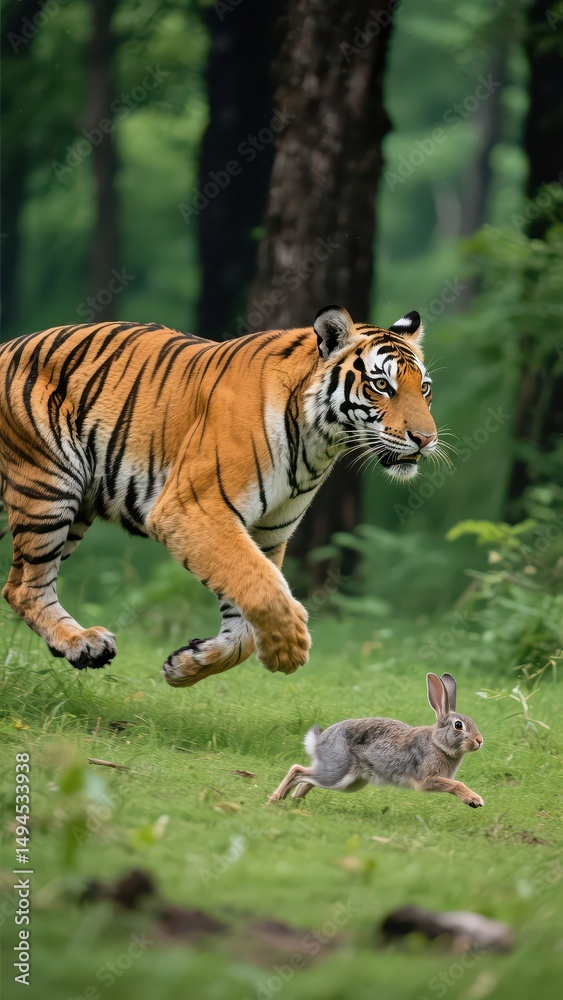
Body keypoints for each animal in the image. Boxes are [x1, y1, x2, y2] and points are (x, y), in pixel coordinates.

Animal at [0, 305, 437, 687]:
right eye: (381, 385)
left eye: (424, 388)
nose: (426, 439)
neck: (318, 442)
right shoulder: (193, 510)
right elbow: (263, 588)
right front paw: (290, 650)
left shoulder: (267, 533)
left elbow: (246, 613)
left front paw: (186, 665)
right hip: (50, 488)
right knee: (25, 586)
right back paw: (81, 643)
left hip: (73, 509)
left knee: (17, 584)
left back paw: (84, 646)